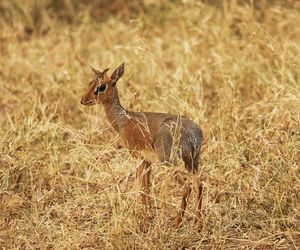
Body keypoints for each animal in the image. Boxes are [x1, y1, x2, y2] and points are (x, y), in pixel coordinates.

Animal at [81, 62, 203, 227]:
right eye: (90, 83)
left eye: (101, 87)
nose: (83, 100)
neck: (124, 120)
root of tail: (192, 133)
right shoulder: (148, 162)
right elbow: (147, 187)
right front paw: (149, 213)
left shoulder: (139, 158)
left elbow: (142, 188)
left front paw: (145, 216)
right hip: (192, 161)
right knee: (199, 184)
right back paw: (198, 223)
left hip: (170, 162)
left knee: (186, 186)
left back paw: (177, 223)